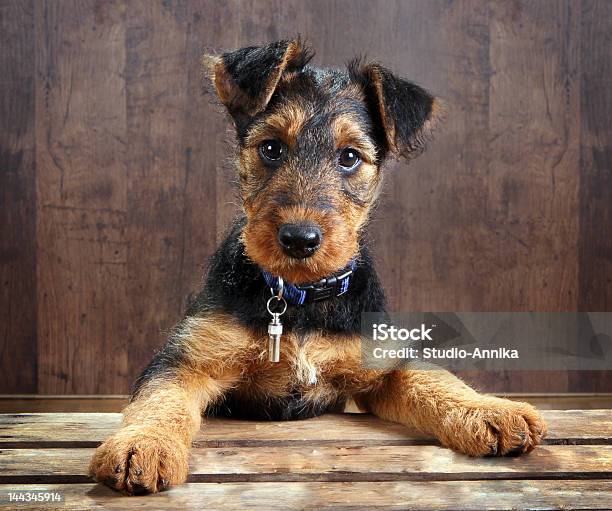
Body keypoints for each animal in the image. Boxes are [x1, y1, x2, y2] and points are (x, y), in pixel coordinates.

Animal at [89, 40, 544, 496]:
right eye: (271, 147)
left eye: (349, 157)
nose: (299, 239)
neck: (299, 297)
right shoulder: (188, 360)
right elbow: (160, 401)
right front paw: (141, 446)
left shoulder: (383, 363)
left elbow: (435, 379)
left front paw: (491, 413)